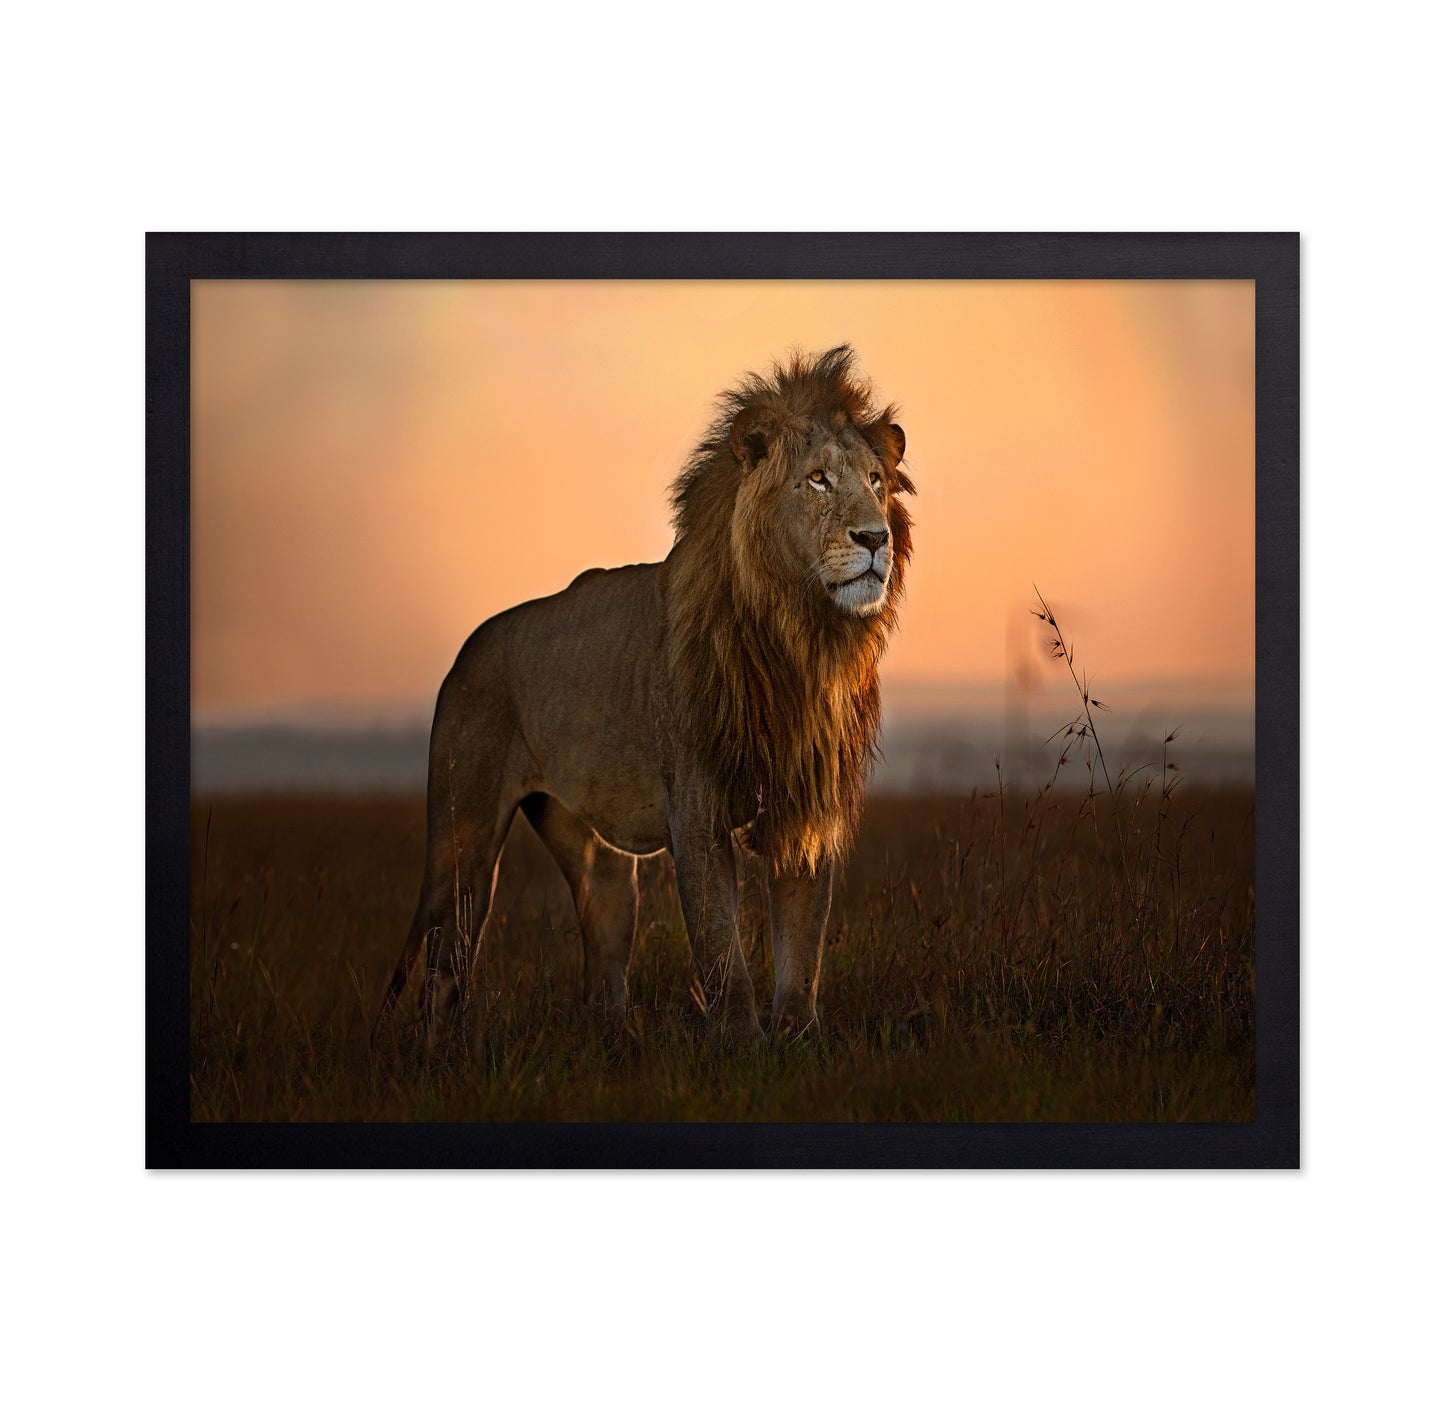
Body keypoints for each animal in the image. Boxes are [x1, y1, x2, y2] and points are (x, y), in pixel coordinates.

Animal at [377, 344, 913, 1048]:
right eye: (818, 480)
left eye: (876, 481)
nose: (875, 538)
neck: (798, 638)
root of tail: (467, 652)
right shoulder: (697, 808)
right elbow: (719, 945)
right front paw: (741, 1044)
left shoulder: (805, 806)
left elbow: (803, 945)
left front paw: (798, 1041)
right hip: (461, 839)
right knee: (446, 958)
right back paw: (446, 1054)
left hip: (594, 855)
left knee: (603, 949)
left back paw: (616, 1043)